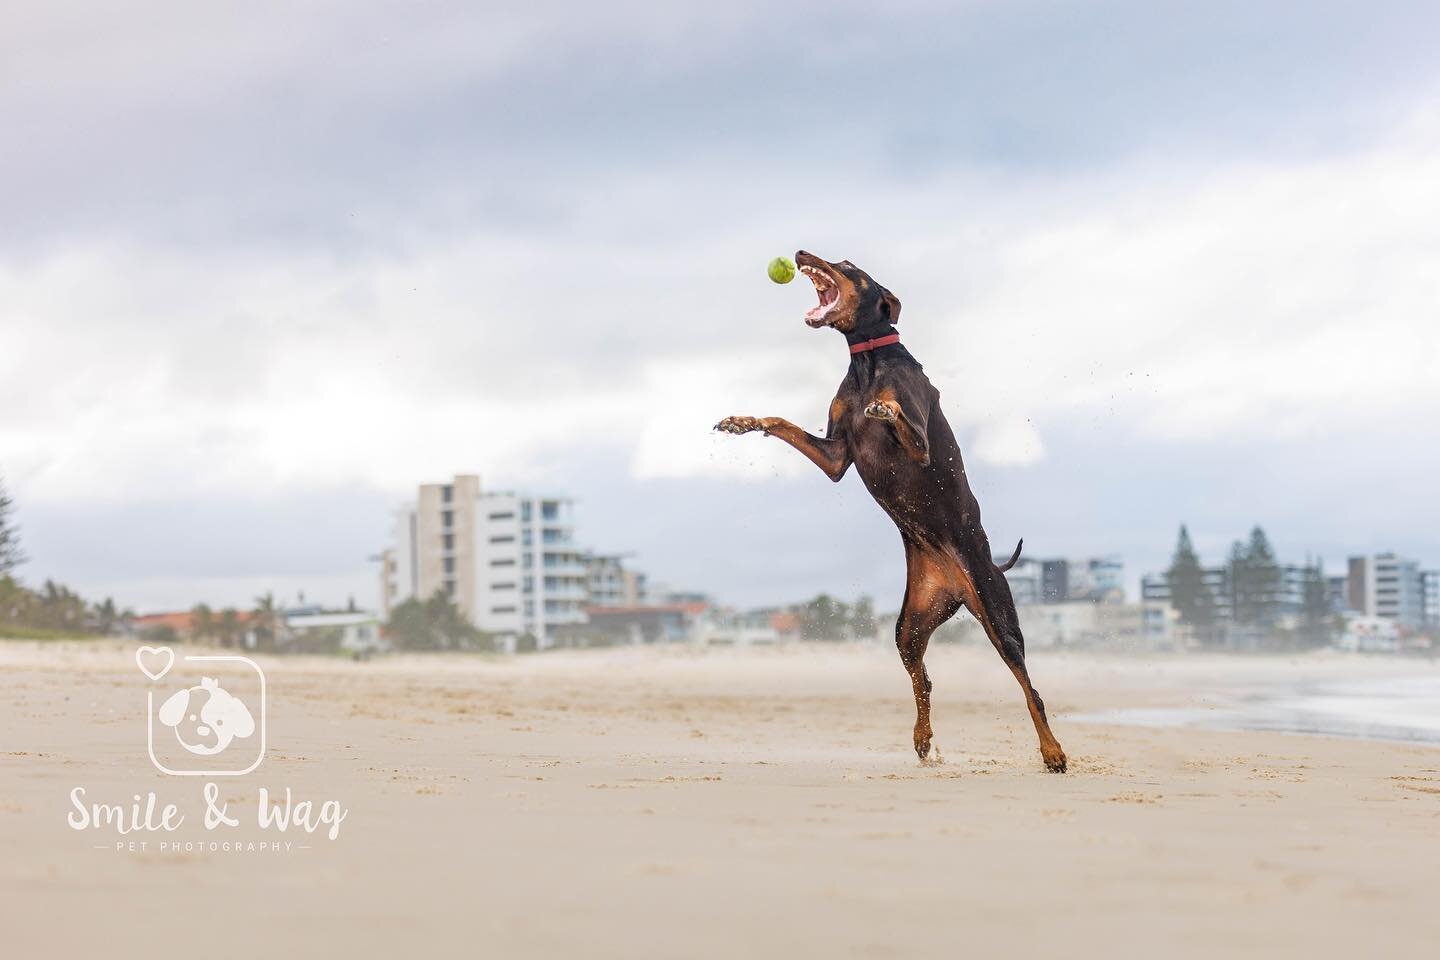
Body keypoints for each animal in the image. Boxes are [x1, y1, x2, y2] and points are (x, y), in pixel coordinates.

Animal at [714, 250, 1065, 771]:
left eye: (846, 264)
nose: (799, 254)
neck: (867, 361)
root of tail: (960, 585)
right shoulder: (836, 457)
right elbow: (781, 423)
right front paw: (743, 421)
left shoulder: (917, 444)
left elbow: (901, 419)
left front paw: (883, 407)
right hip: (909, 625)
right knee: (923, 677)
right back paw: (922, 738)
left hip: (998, 614)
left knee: (1029, 688)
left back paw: (1053, 751)